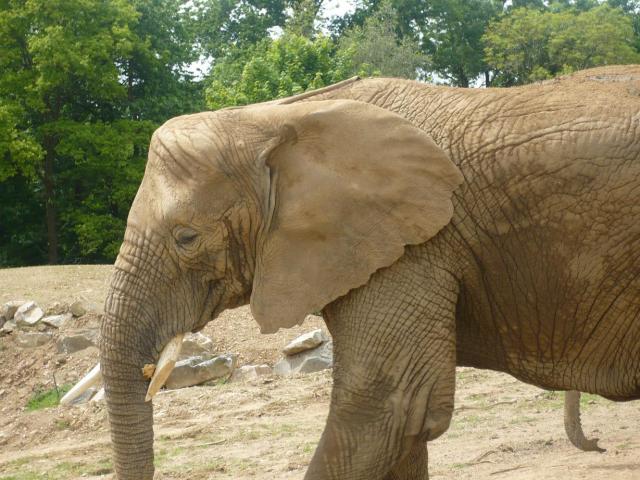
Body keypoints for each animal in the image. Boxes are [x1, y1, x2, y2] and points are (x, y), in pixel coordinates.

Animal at [94, 64, 640, 480]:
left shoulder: (412, 249)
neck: (274, 118)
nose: (598, 446)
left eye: (186, 238)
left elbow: (385, 412)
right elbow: (403, 431)